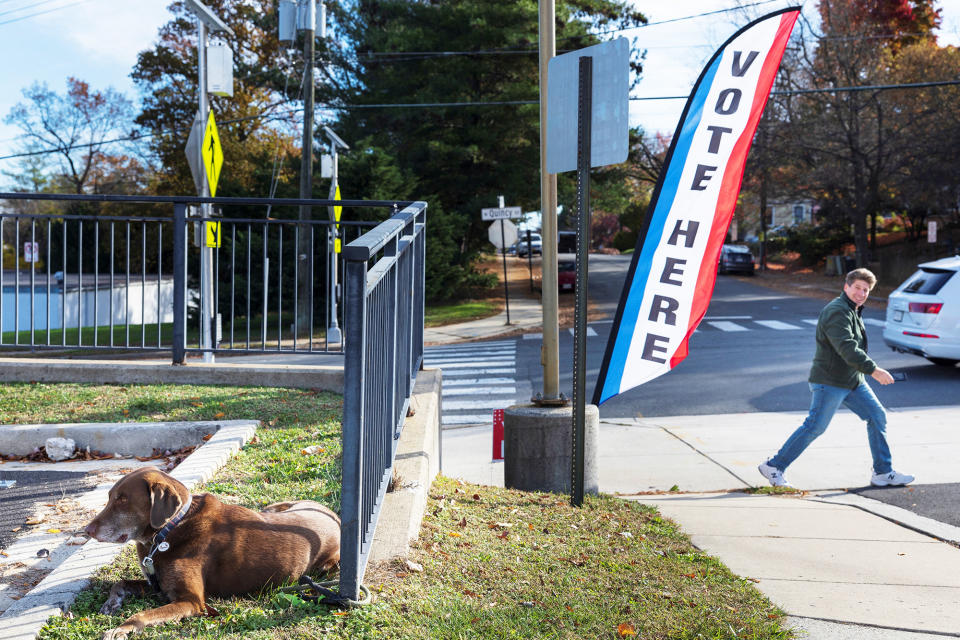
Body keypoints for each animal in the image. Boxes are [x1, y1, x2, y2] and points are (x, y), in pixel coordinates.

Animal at [85, 464, 342, 640]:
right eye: (110, 497)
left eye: (123, 500)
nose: (86, 530)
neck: (170, 530)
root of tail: (335, 516)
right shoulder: (156, 584)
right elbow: (119, 582)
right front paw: (111, 603)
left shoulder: (191, 600)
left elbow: (142, 614)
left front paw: (120, 629)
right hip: (272, 508)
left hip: (328, 564)